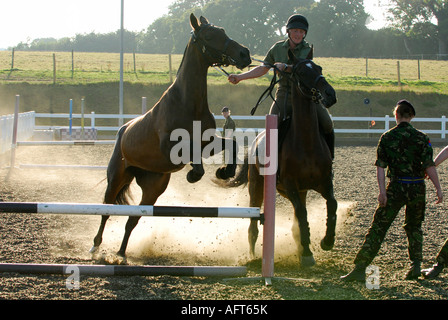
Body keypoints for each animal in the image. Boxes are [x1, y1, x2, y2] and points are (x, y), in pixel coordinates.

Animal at [90, 13, 252, 258]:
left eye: (223, 30)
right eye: (209, 35)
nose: (244, 54)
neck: (188, 103)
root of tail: (123, 131)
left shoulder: (207, 143)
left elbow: (231, 144)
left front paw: (225, 172)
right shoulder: (172, 148)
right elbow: (192, 156)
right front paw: (194, 175)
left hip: (152, 189)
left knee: (132, 220)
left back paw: (121, 253)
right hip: (117, 178)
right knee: (106, 210)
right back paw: (96, 245)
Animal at [231, 48, 336, 266]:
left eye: (319, 68)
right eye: (302, 72)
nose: (330, 94)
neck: (307, 143)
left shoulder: (324, 183)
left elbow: (332, 204)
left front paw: (327, 241)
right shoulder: (291, 185)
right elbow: (302, 214)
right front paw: (307, 253)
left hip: (295, 191)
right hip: (257, 188)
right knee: (253, 223)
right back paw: (253, 255)